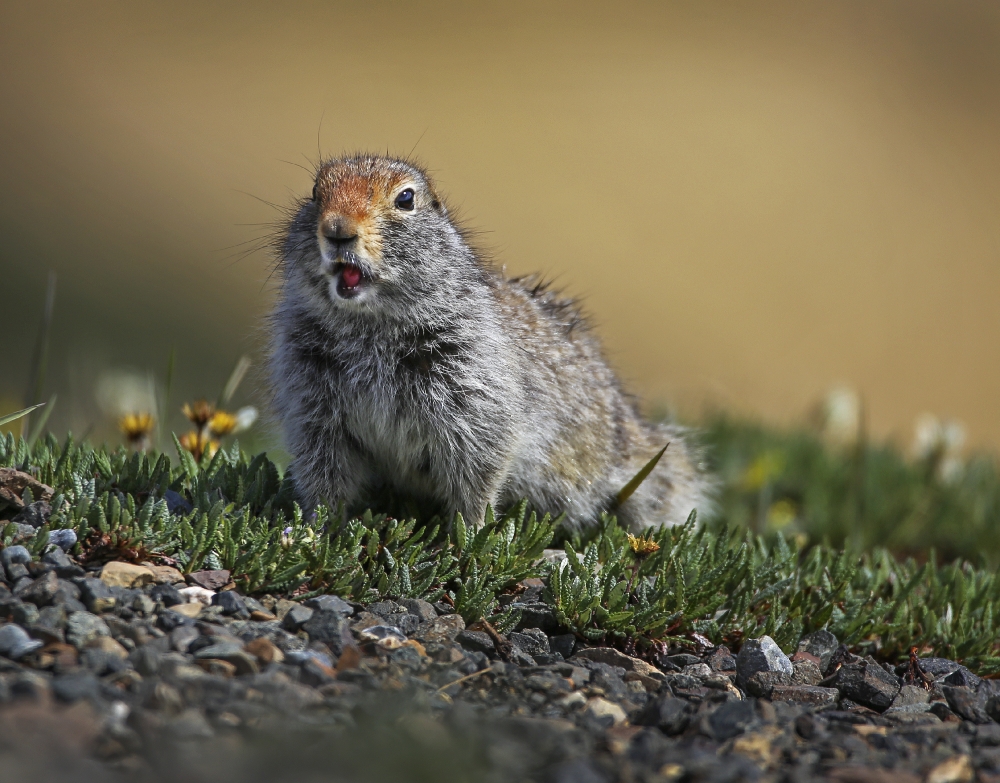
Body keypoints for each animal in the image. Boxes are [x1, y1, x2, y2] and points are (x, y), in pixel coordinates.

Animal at [270, 155, 716, 532]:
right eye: (315, 192)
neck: (368, 329)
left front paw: (469, 536)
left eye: (406, 198)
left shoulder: (473, 392)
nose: (337, 230)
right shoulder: (312, 404)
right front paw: (318, 530)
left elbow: (478, 470)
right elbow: (324, 473)